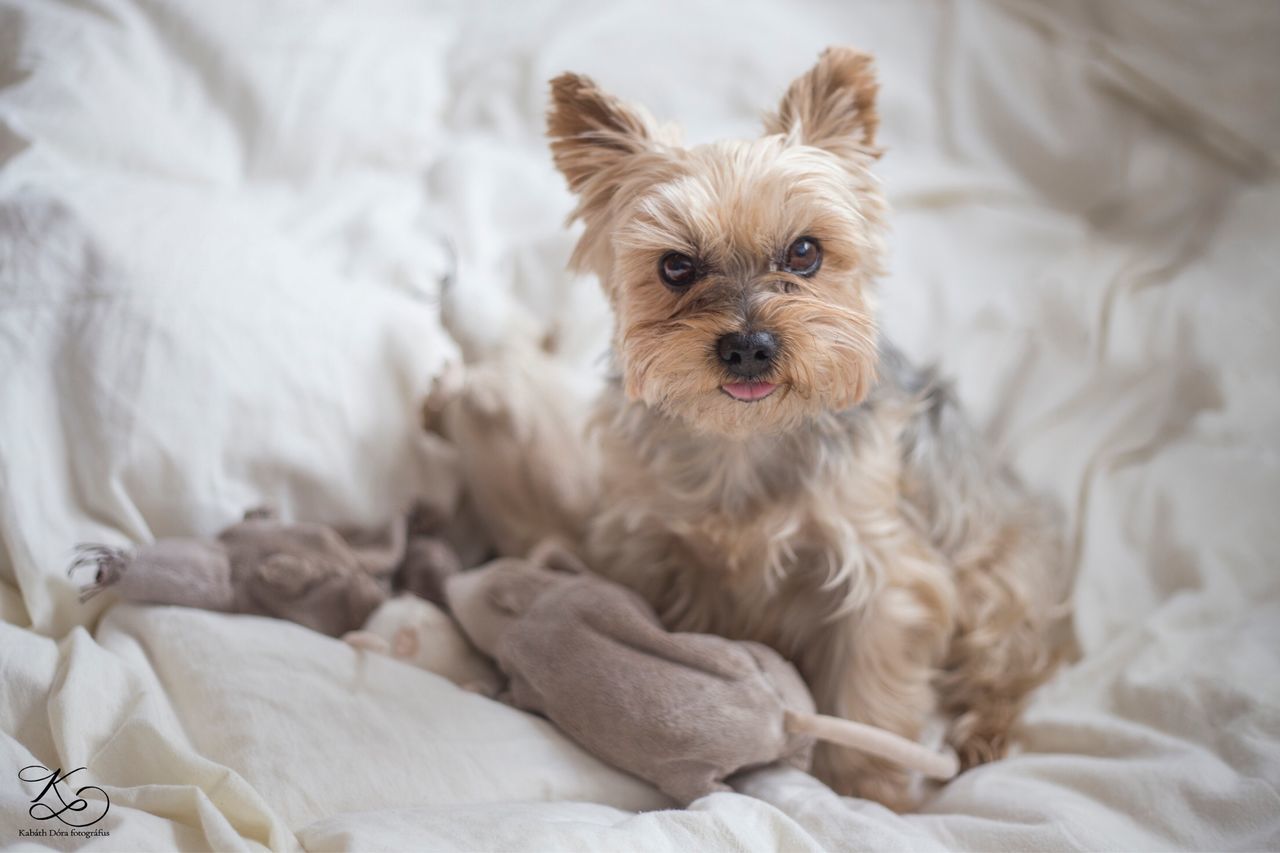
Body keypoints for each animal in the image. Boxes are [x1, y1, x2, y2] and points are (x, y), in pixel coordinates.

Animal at [445, 48, 1064, 809]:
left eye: (804, 252)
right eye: (675, 265)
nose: (748, 346)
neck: (742, 439)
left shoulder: (885, 576)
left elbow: (871, 696)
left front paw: (869, 796)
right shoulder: (650, 548)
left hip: (999, 573)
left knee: (1011, 661)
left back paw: (983, 734)